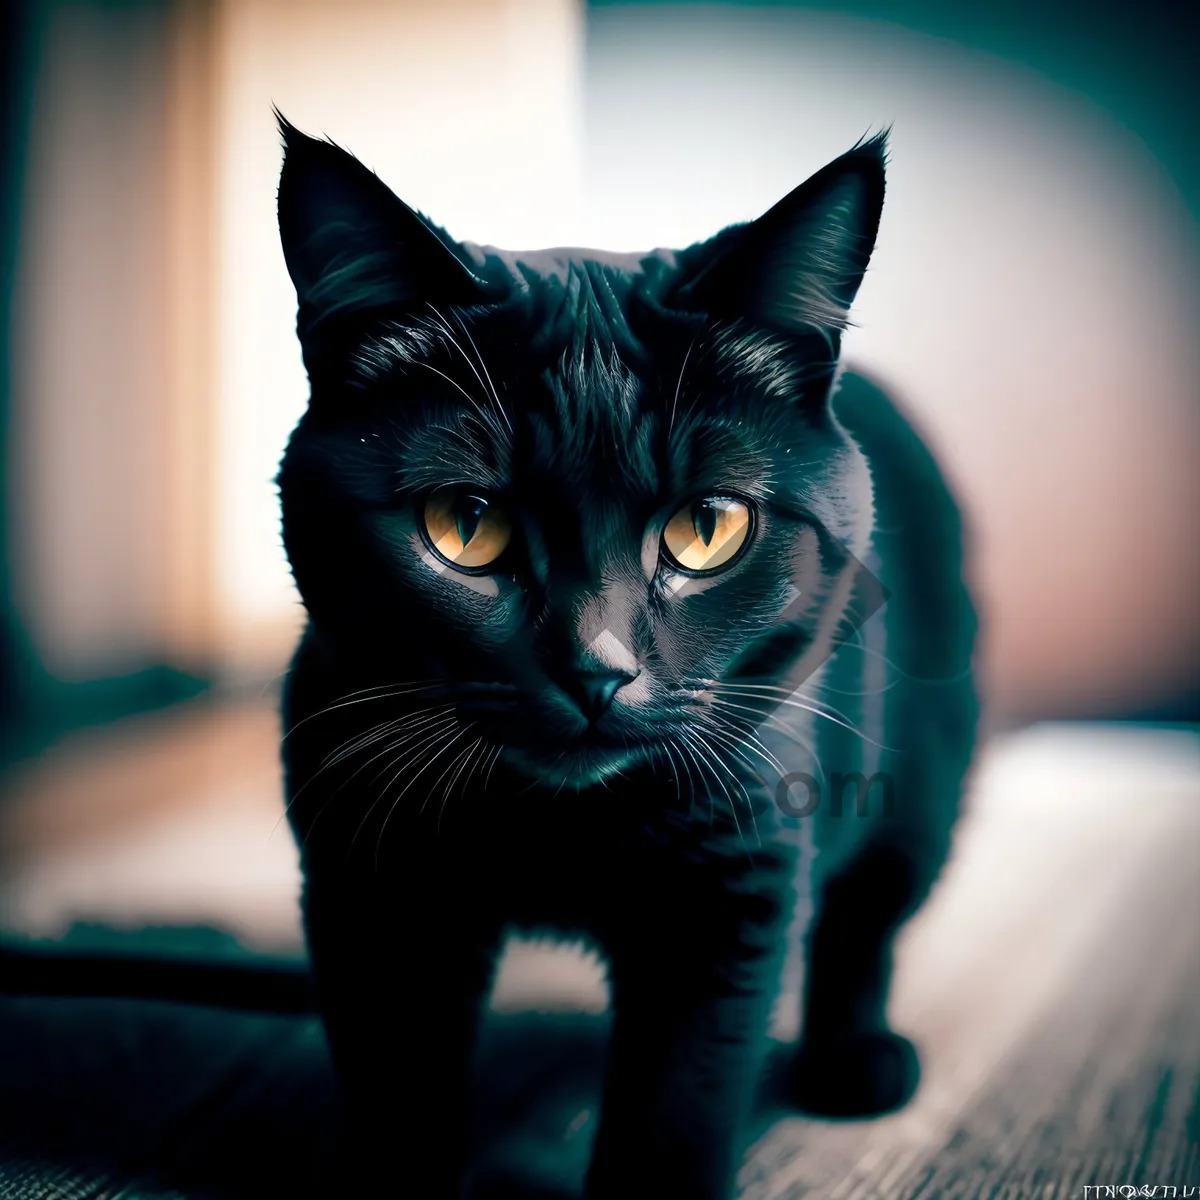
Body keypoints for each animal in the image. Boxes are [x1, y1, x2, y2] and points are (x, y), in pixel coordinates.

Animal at [276, 114, 979, 1200]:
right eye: (464, 525)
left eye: (707, 528)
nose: (596, 669)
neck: (556, 825)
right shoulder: (372, 882)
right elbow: (400, 1089)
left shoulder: (732, 885)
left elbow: (675, 1108)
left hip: (921, 785)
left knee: (865, 918)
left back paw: (855, 1059)